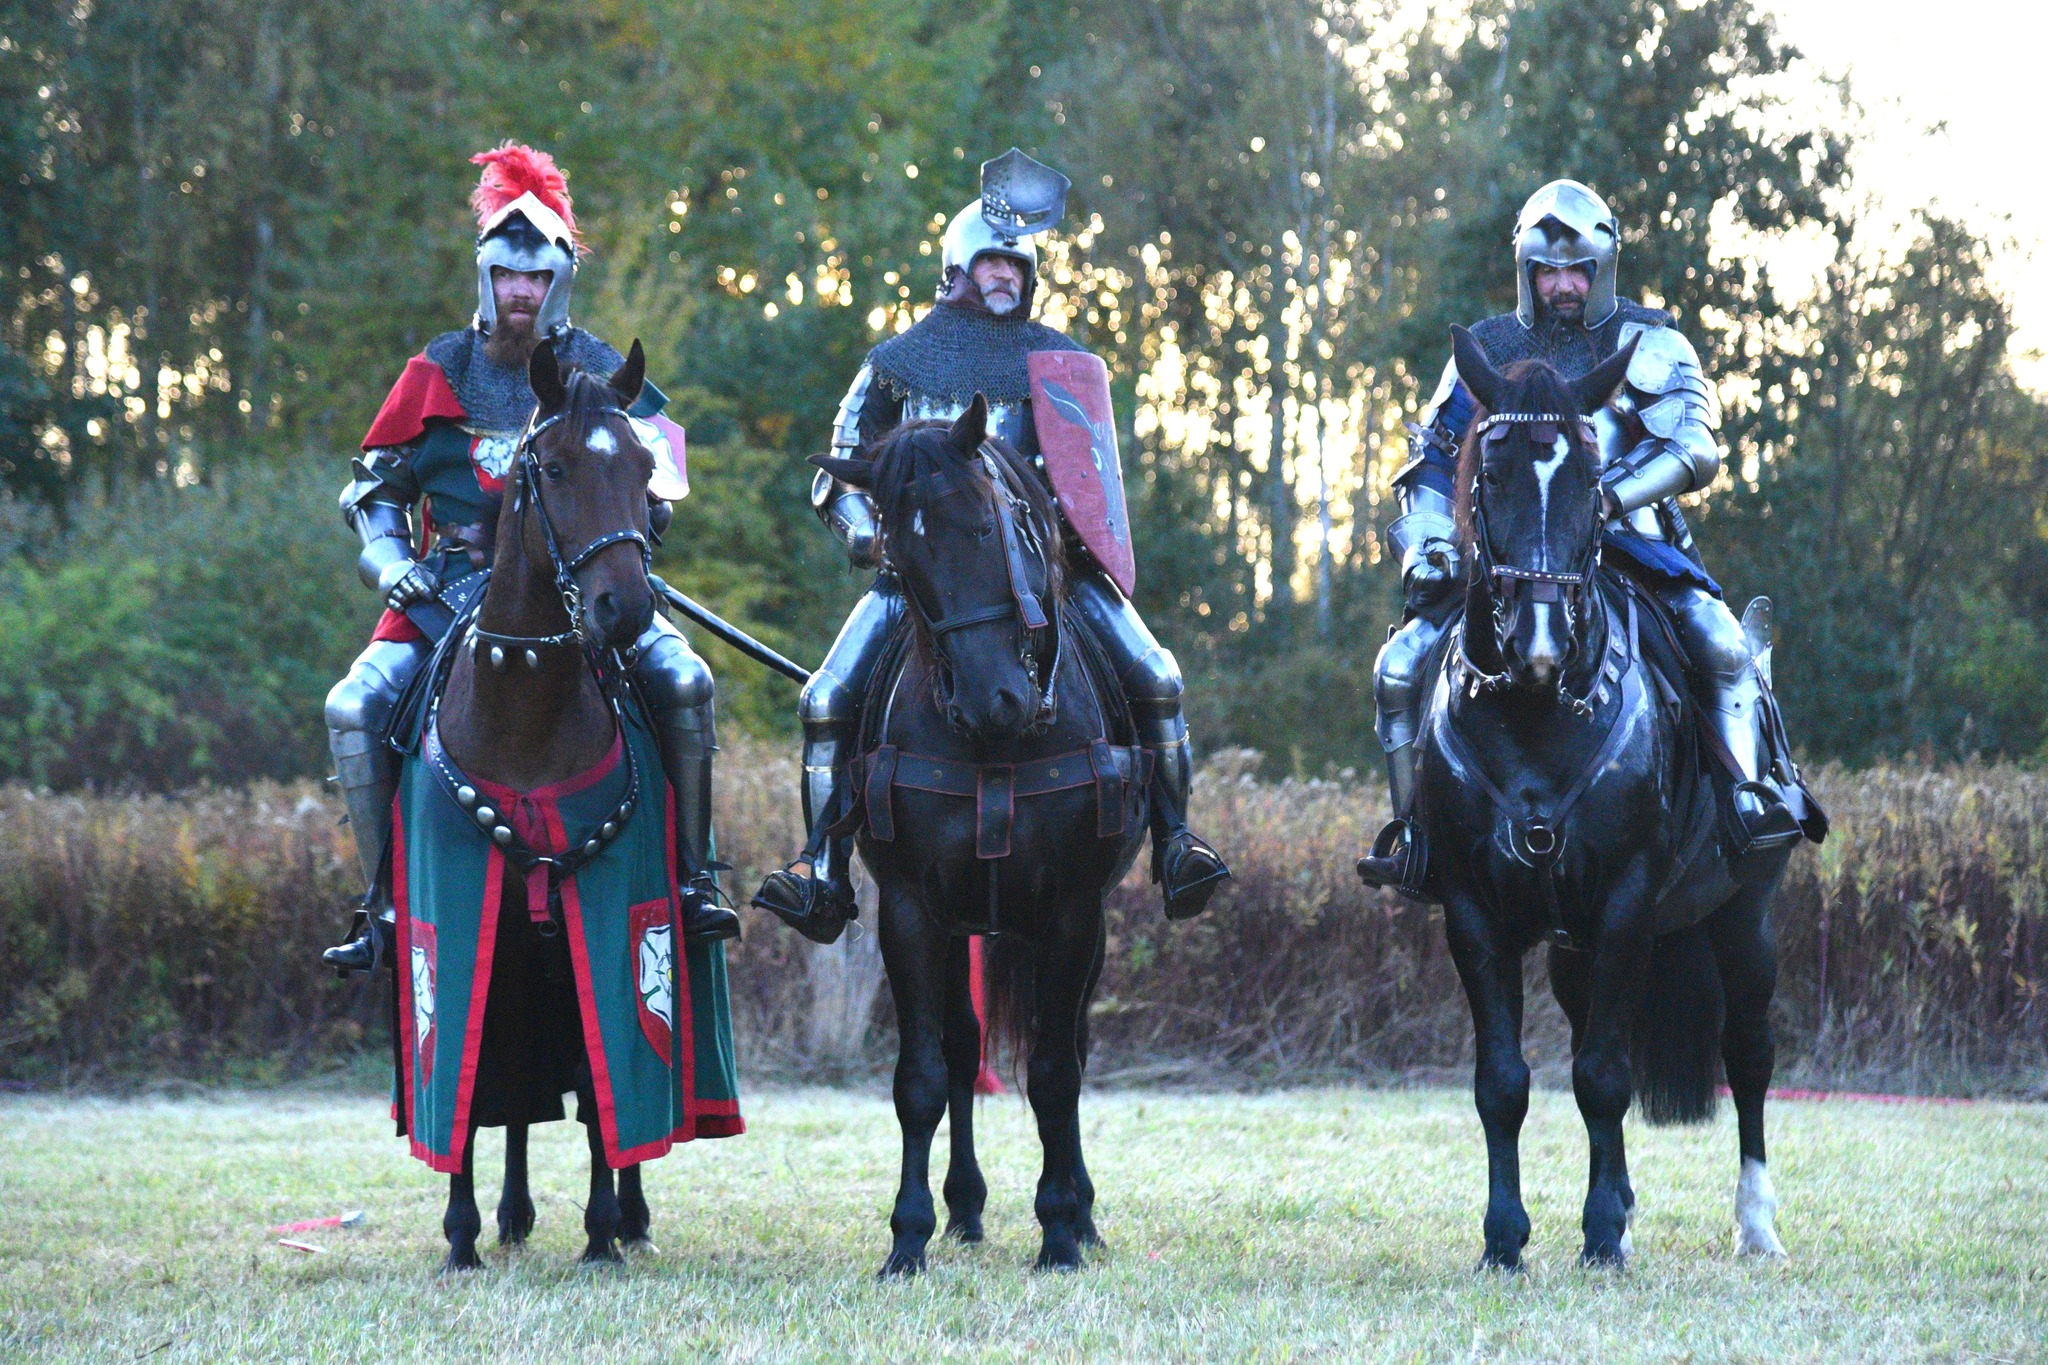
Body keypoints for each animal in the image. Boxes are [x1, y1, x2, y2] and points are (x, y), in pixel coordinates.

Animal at [390, 337, 736, 1270]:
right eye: (549, 467)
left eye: (646, 468)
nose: (627, 609)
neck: (524, 710)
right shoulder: (459, 915)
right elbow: (466, 1077)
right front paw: (460, 1235)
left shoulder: (613, 906)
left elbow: (602, 1067)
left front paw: (603, 1228)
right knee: (508, 1084)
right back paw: (509, 1213)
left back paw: (629, 1214)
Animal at [809, 397, 1152, 1275]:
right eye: (902, 559)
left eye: (986, 525)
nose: (995, 698)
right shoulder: (910, 911)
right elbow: (922, 1076)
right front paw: (907, 1238)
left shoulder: (1072, 912)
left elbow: (1056, 1070)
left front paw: (1061, 1231)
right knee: (964, 1052)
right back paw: (964, 1208)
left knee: (1069, 1045)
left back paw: (1081, 1213)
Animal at [1395, 326, 1797, 1271]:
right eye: (1491, 469)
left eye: (1585, 473)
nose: (1539, 637)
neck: (1535, 714)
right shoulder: (1474, 912)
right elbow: (1506, 1083)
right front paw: (1506, 1239)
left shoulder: (1624, 902)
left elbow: (1604, 1077)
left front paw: (1603, 1236)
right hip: (1577, 948)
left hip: (1743, 913)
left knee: (1747, 1054)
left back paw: (1756, 1224)